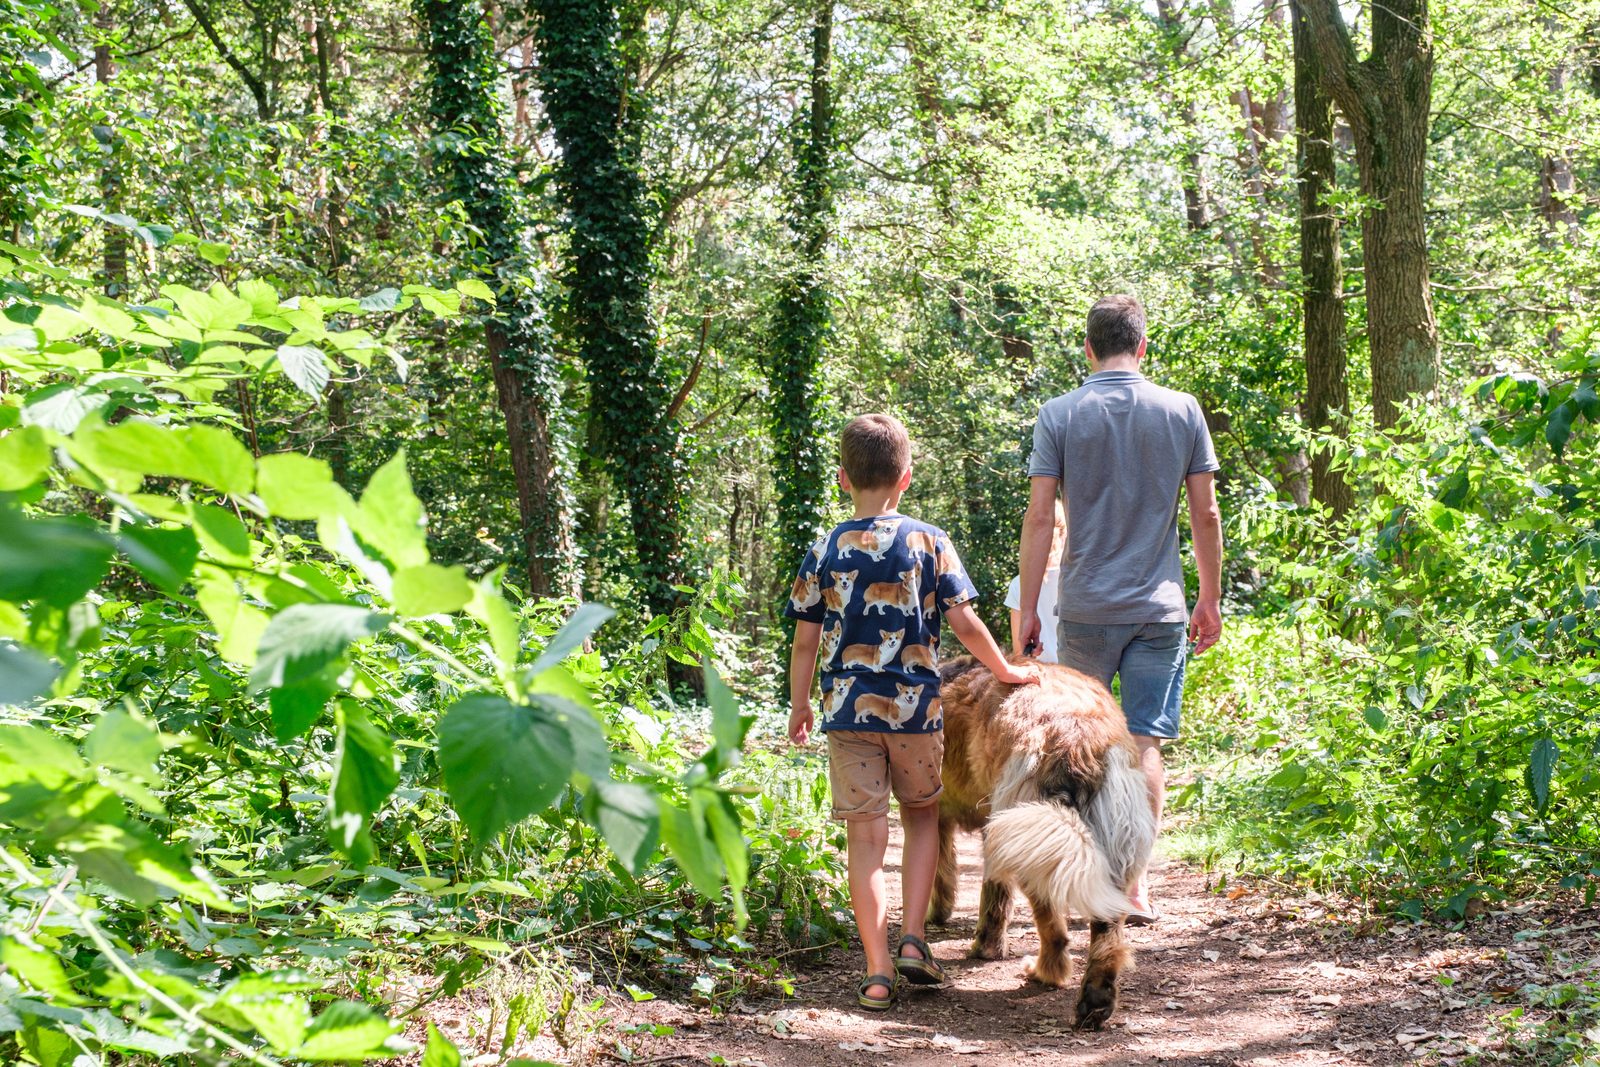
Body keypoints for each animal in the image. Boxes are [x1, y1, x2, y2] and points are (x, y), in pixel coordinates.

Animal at [934, 655, 1158, 1030]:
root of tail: (1079, 738)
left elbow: (943, 873)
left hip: (1031, 836)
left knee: (1054, 928)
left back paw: (1046, 973)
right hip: (1099, 839)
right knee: (1107, 931)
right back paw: (1095, 1001)